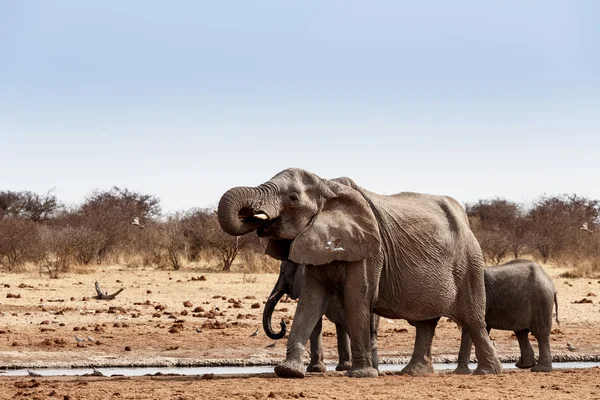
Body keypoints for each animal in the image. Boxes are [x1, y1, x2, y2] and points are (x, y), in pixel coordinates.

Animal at [216, 168, 502, 378]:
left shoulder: (369, 250)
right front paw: (288, 372)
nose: (254, 217)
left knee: (473, 320)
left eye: (293, 198)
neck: (328, 186)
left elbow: (357, 300)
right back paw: (413, 373)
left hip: (469, 263)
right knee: (426, 323)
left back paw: (487, 372)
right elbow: (310, 303)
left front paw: (361, 374)